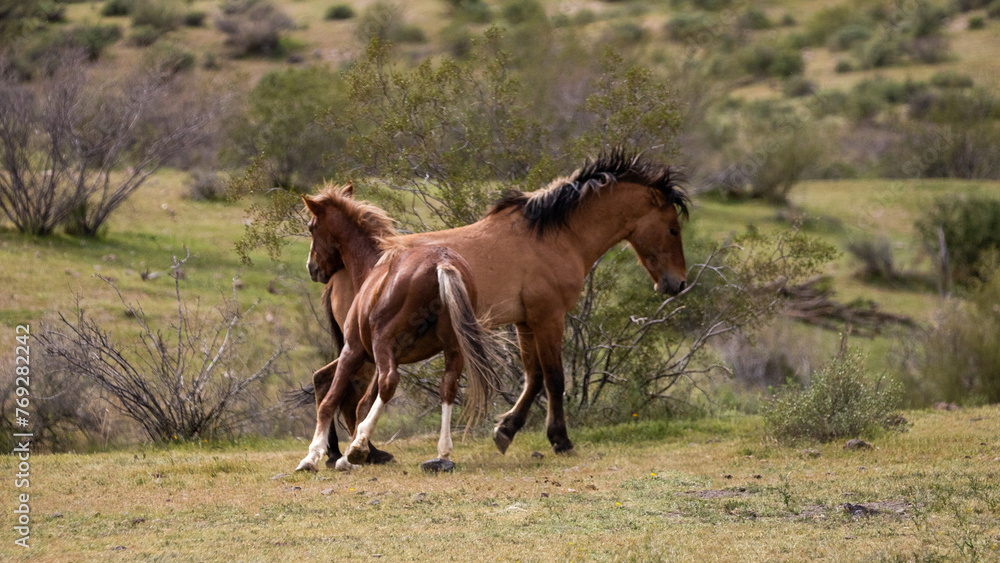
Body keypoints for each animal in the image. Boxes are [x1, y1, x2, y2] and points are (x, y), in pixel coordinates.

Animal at [307, 149, 689, 457]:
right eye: (673, 229)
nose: (678, 283)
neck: (551, 238)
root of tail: (340, 270)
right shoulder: (548, 317)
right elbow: (554, 378)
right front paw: (560, 440)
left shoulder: (525, 322)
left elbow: (534, 377)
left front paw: (506, 430)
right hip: (367, 348)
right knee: (348, 393)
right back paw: (354, 451)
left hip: (369, 349)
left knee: (334, 386)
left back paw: (344, 451)